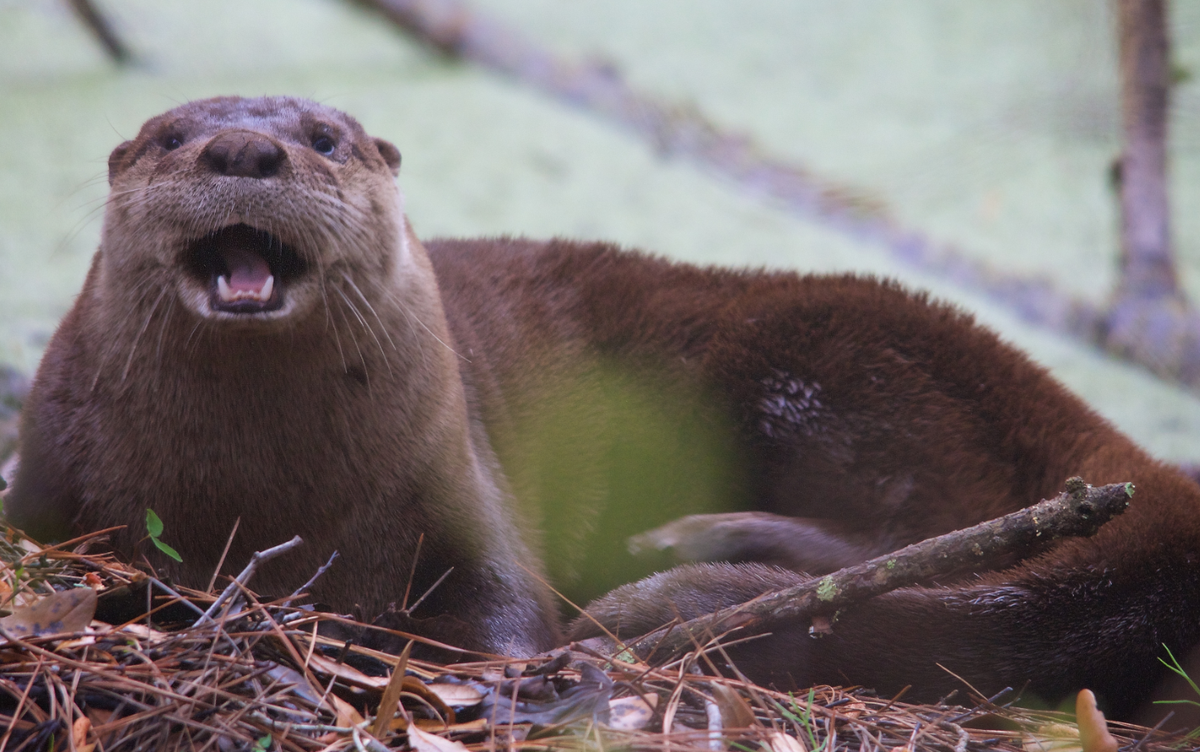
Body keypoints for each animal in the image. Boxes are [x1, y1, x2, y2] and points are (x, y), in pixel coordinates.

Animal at [7, 97, 1200, 719]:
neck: (254, 502)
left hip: (827, 370)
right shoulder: (48, 479)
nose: (245, 146)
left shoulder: (456, 473)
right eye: (172, 136)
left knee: (904, 541)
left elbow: (510, 614)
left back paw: (684, 554)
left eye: (325, 137)